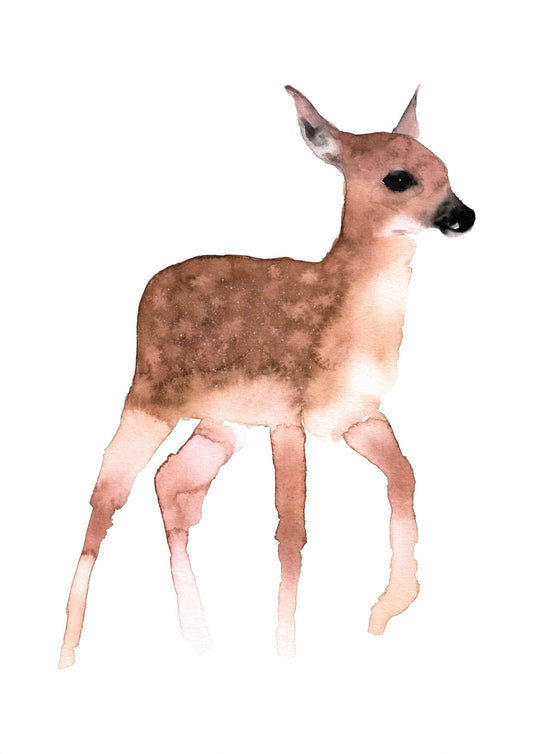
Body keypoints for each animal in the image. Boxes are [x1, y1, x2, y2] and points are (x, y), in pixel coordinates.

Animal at [59, 85, 475, 668]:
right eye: (398, 177)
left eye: (445, 168)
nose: (464, 215)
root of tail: (149, 288)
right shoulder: (288, 415)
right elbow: (291, 531)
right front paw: (287, 649)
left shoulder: (353, 417)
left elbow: (404, 475)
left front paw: (388, 605)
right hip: (148, 395)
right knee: (107, 494)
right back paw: (69, 650)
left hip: (221, 424)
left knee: (173, 486)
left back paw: (199, 636)